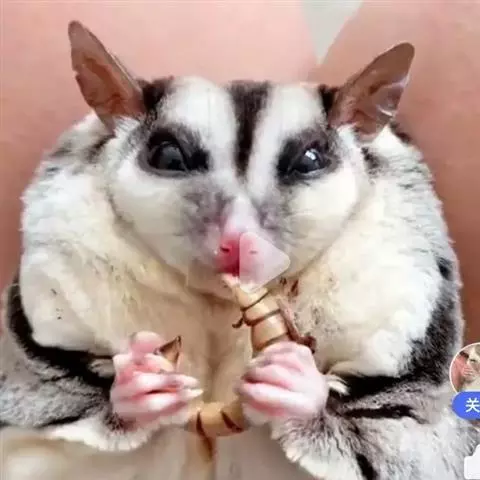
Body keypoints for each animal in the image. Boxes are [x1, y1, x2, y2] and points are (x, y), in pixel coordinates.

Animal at [0, 20, 477, 480]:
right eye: (169, 157)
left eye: (309, 160)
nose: (239, 242)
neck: (219, 306)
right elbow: (48, 383)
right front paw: (135, 386)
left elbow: (394, 422)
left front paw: (301, 387)